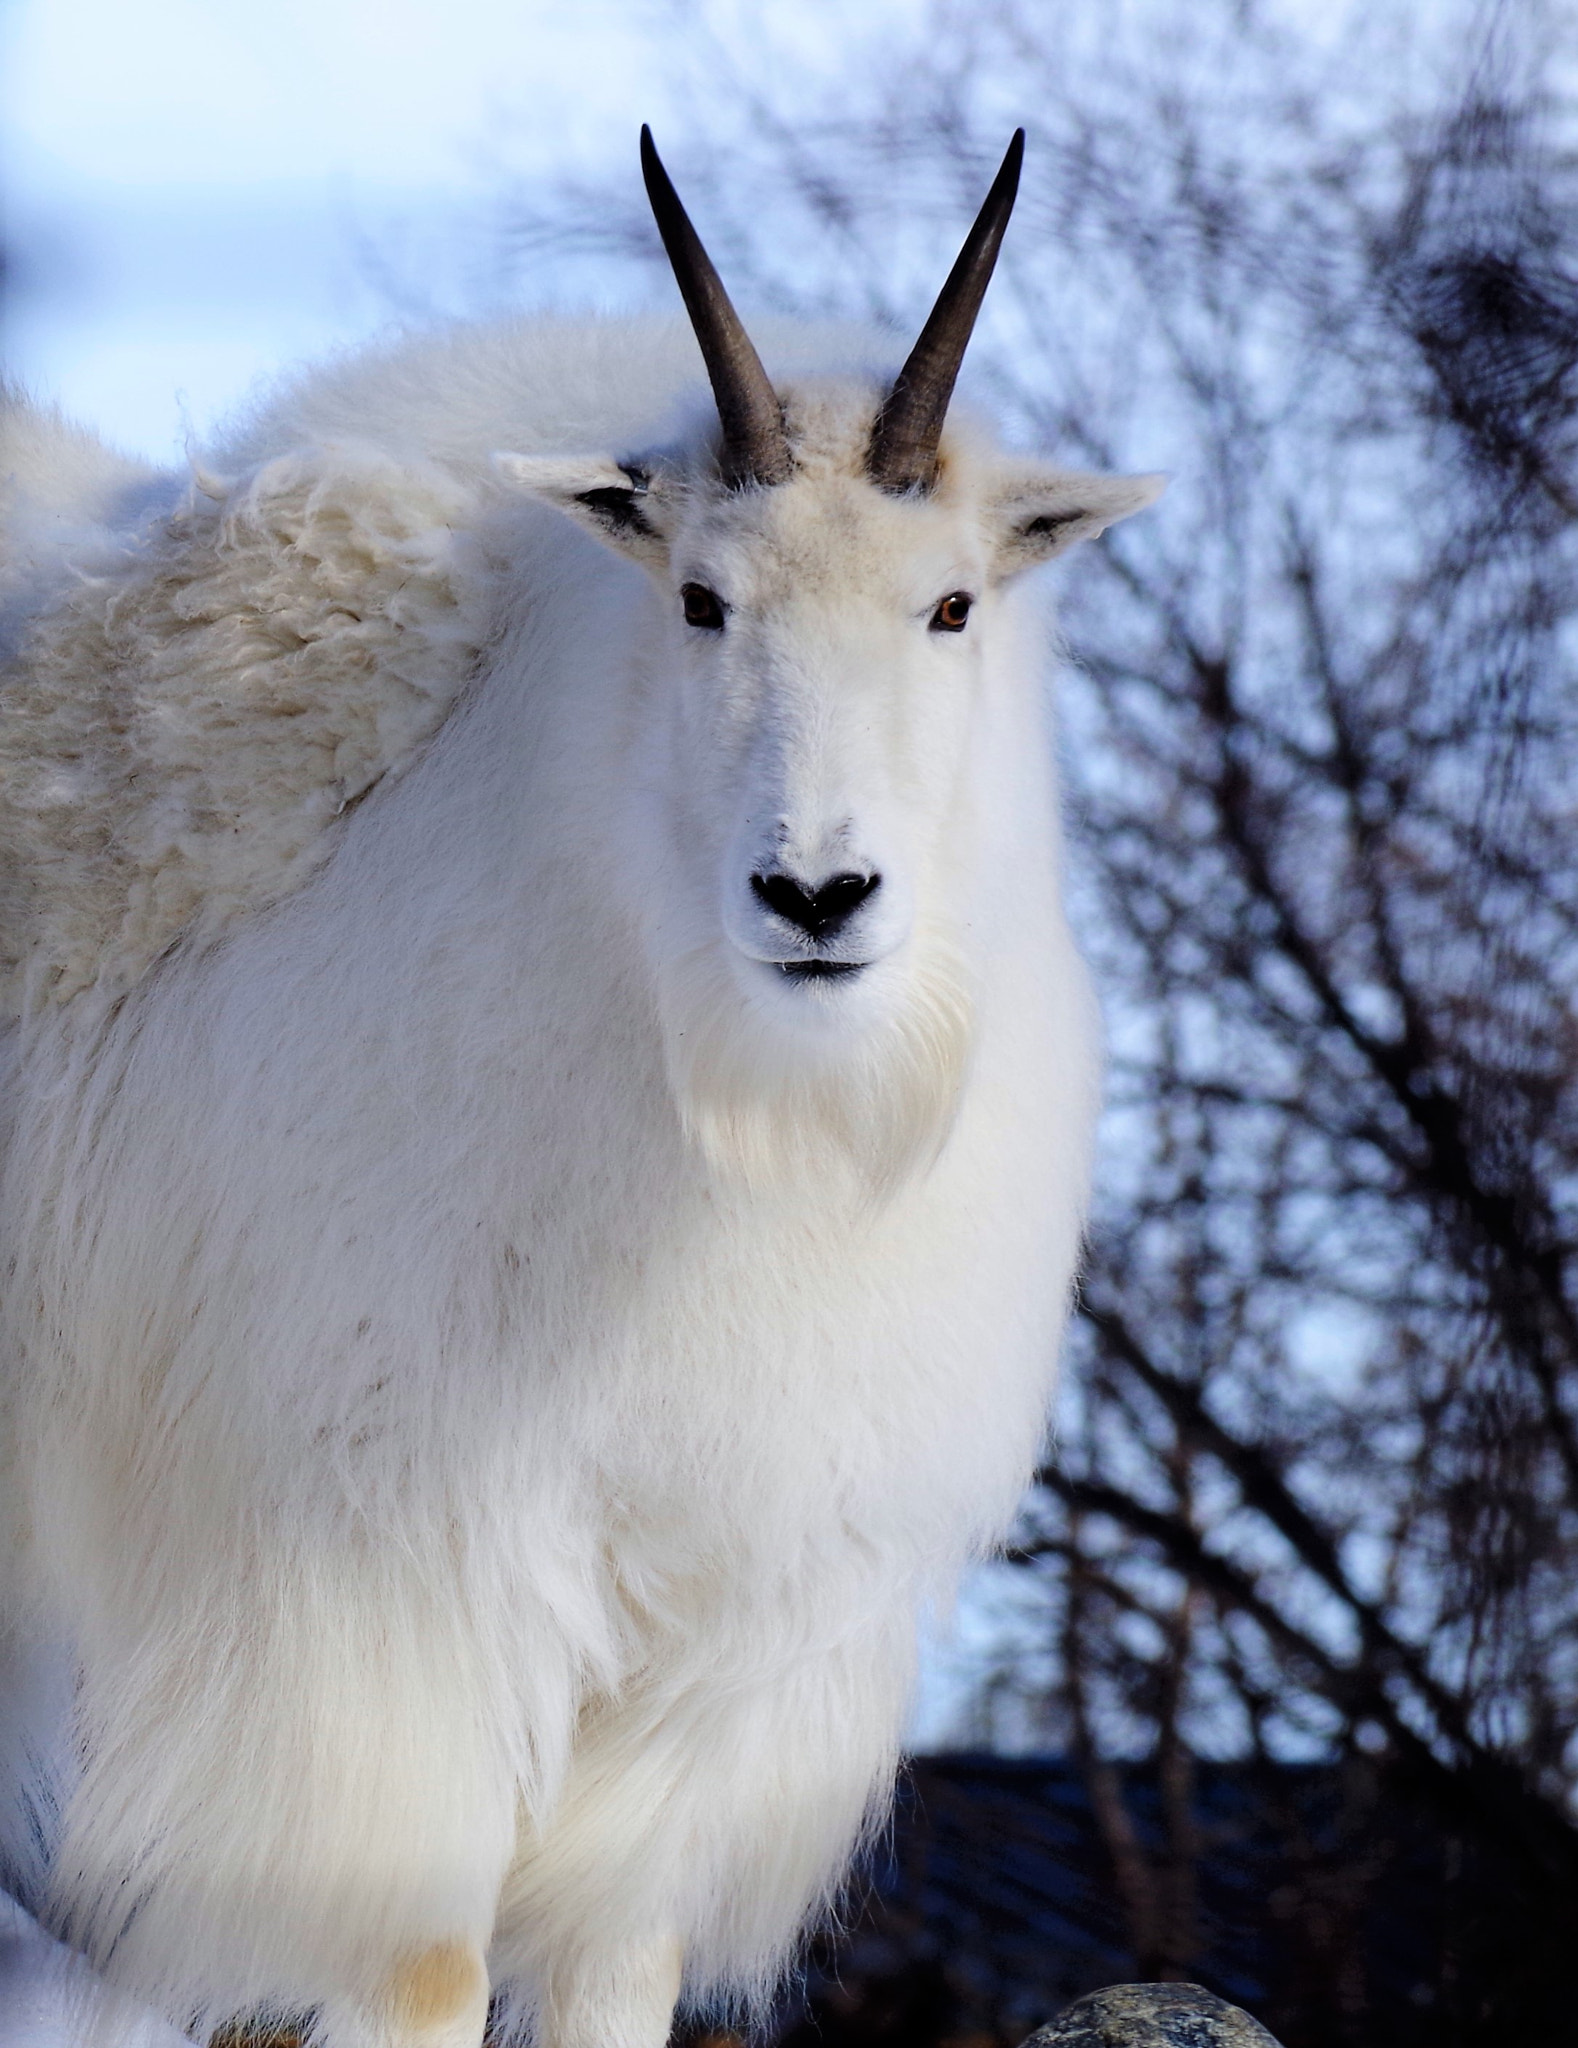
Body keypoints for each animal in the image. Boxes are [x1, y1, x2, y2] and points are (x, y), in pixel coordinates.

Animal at [0, 132, 1162, 2048]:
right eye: (699, 599)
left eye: (949, 604)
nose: (815, 895)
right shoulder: (369, 1592)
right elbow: (422, 1963)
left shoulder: (718, 1643)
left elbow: (616, 1959)